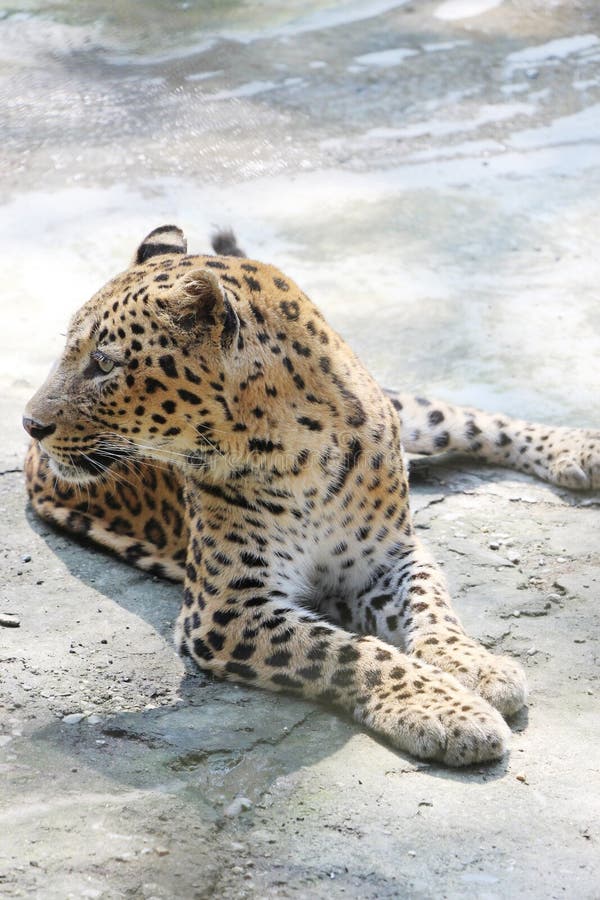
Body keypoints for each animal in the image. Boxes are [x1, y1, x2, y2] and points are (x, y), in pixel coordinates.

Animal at [23, 224, 600, 767]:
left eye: (104, 364)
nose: (30, 423)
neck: (302, 453)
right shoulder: (225, 609)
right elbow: (350, 653)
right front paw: (444, 709)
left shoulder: (391, 557)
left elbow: (434, 608)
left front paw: (473, 664)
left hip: (408, 410)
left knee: (477, 422)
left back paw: (580, 449)